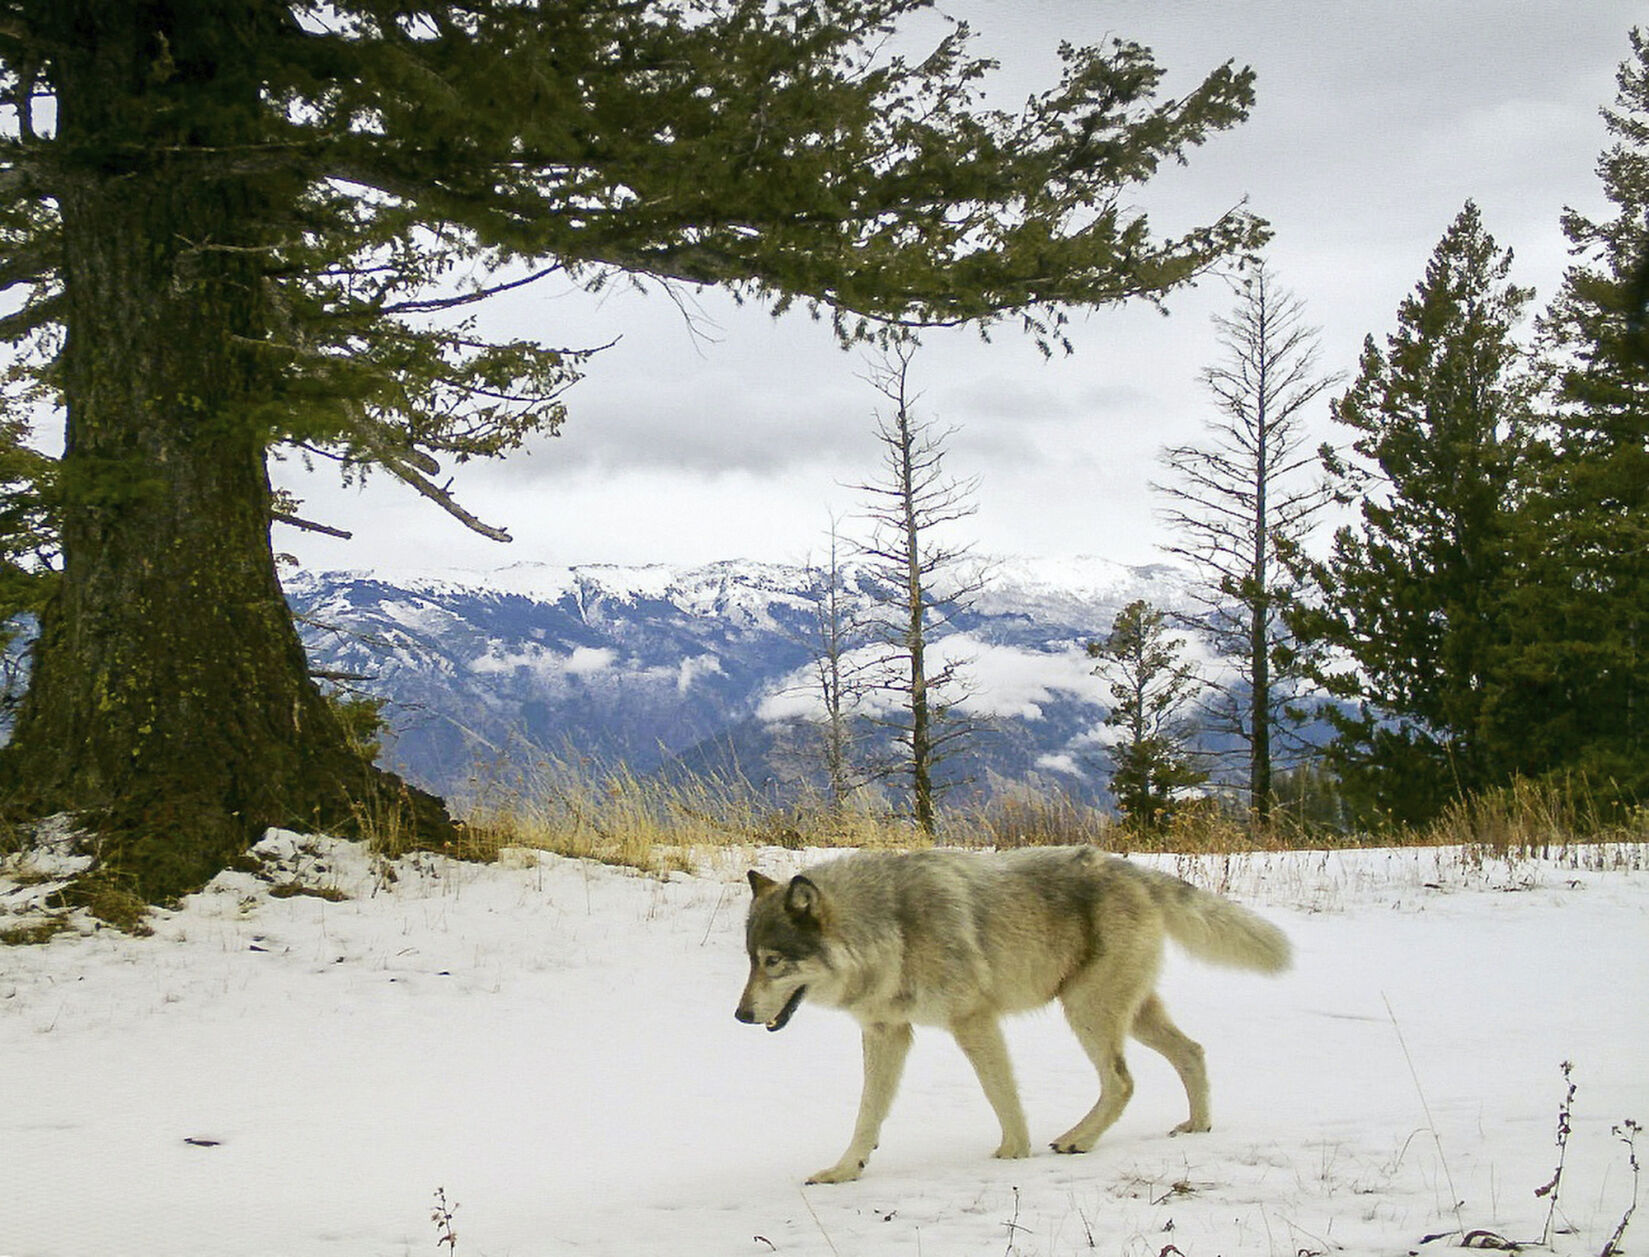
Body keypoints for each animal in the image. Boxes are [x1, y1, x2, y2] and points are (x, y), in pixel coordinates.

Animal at [734, 846, 1291, 1183]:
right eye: (750, 960)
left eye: (773, 961)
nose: (740, 1015)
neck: (891, 929)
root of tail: (1132, 869)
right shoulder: (886, 1032)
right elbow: (867, 1112)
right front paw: (845, 1170)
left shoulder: (973, 1021)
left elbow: (1000, 1093)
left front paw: (1014, 1154)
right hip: (1129, 1014)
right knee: (1192, 1052)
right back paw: (1197, 1126)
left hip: (1087, 1012)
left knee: (1122, 1081)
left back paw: (1077, 1140)